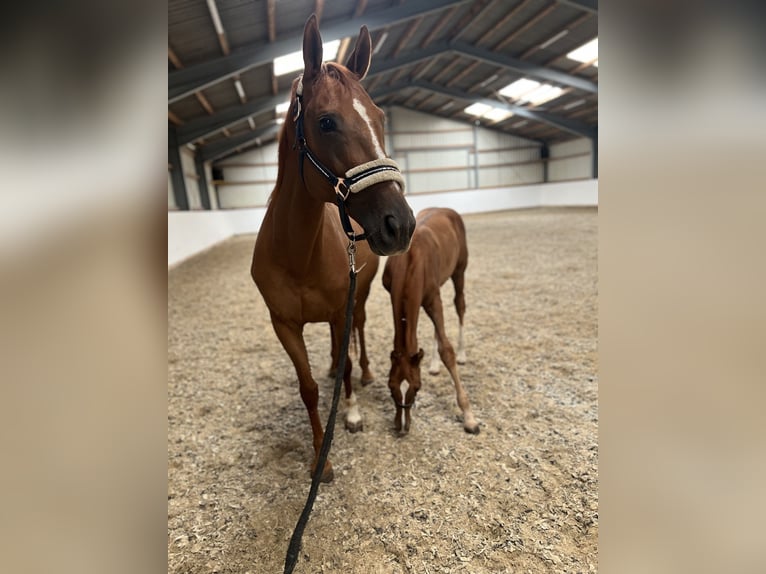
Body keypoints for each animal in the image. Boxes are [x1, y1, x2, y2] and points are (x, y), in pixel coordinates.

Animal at [251, 15, 416, 483]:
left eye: (380, 117)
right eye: (326, 122)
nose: (400, 224)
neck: (297, 254)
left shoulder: (342, 306)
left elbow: (346, 365)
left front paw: (353, 414)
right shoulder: (284, 325)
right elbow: (307, 388)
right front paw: (318, 459)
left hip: (357, 298)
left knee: (357, 332)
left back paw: (364, 373)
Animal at [382, 207, 479, 435]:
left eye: (417, 387)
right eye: (391, 387)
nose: (402, 427)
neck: (410, 260)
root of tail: (447, 210)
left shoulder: (433, 299)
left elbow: (447, 351)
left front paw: (469, 416)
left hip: (459, 272)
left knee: (460, 306)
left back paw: (462, 354)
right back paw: (434, 365)